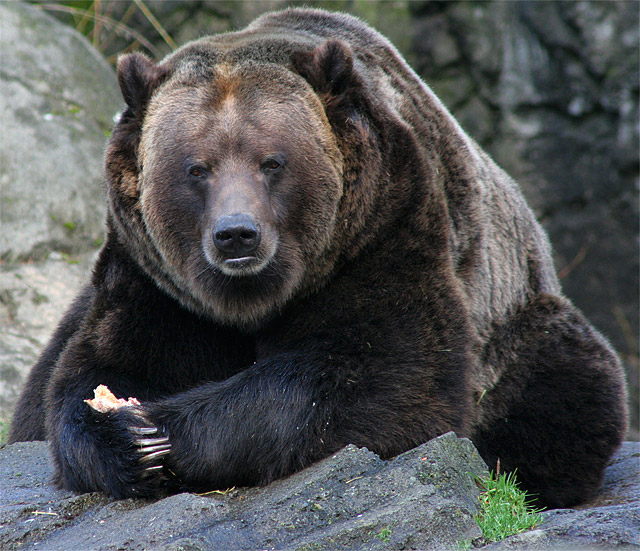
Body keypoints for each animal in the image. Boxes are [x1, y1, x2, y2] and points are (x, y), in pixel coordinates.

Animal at [8, 8, 628, 508]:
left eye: (271, 161)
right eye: (197, 168)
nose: (237, 236)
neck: (253, 298)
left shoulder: (385, 228)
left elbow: (379, 375)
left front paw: (160, 427)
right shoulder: (157, 279)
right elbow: (93, 371)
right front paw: (126, 435)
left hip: (517, 325)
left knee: (567, 391)